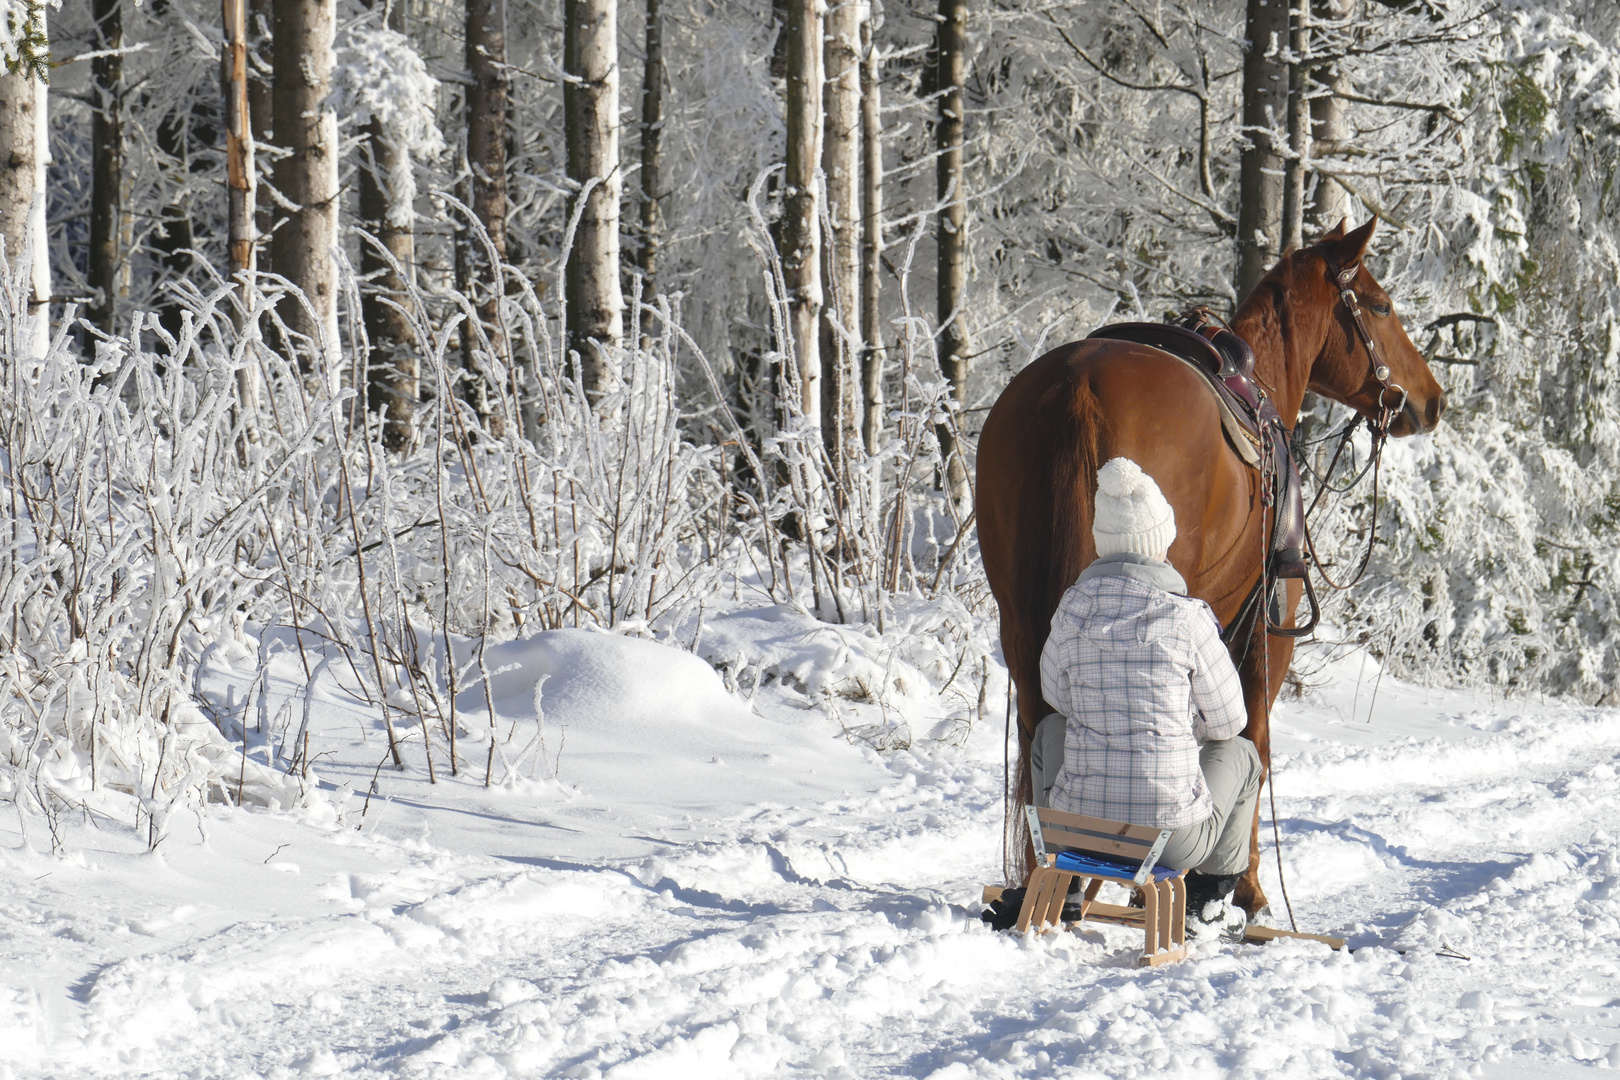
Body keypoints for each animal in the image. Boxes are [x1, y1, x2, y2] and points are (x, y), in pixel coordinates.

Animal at [972, 220, 1445, 913]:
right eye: (1381, 306)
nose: (1431, 401)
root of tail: (1078, 382)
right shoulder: (1265, 633)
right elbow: (1255, 743)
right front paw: (1245, 889)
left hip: (1020, 621)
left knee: (1038, 733)